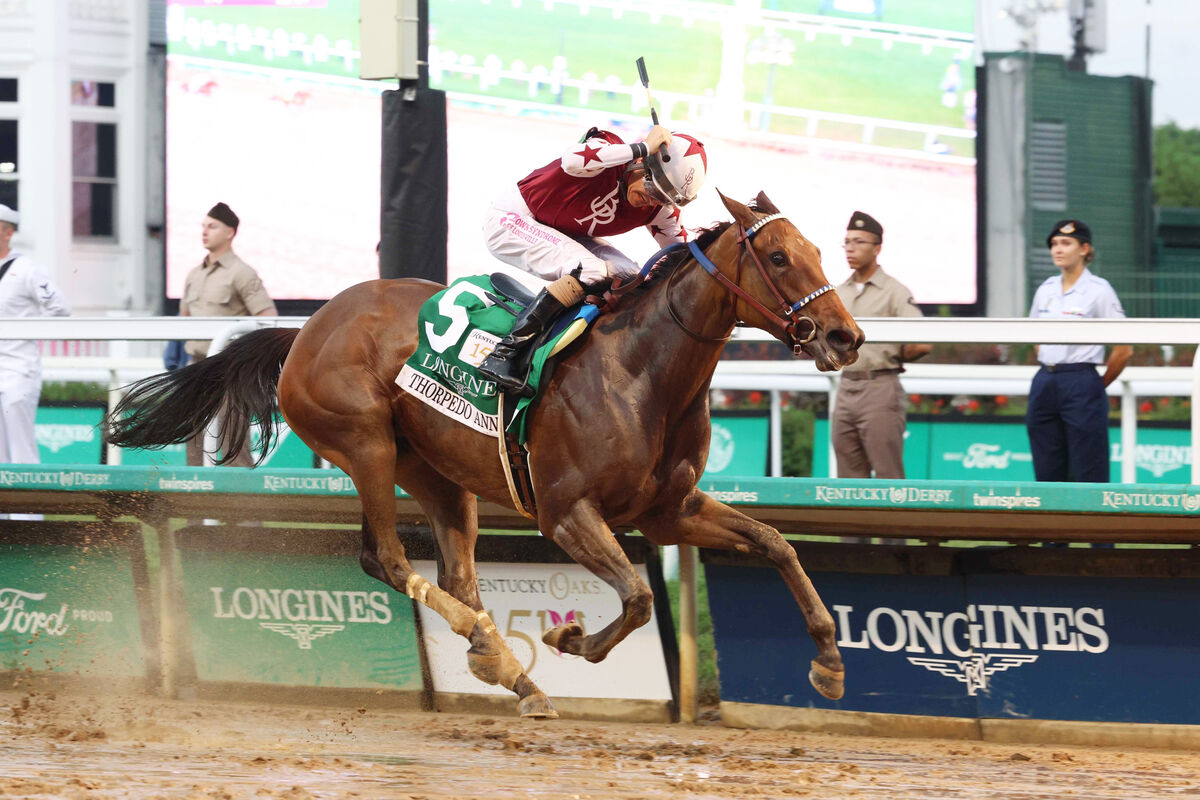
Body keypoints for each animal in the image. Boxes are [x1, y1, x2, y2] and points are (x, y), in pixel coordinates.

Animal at [108, 191, 864, 719]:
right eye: (777, 258)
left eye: (821, 252)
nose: (846, 337)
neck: (640, 371)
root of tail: (306, 327)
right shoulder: (567, 512)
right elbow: (641, 596)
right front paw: (570, 641)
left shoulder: (669, 511)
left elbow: (775, 543)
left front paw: (829, 660)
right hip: (366, 444)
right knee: (385, 557)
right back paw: (497, 654)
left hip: (438, 473)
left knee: (454, 573)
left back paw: (510, 669)